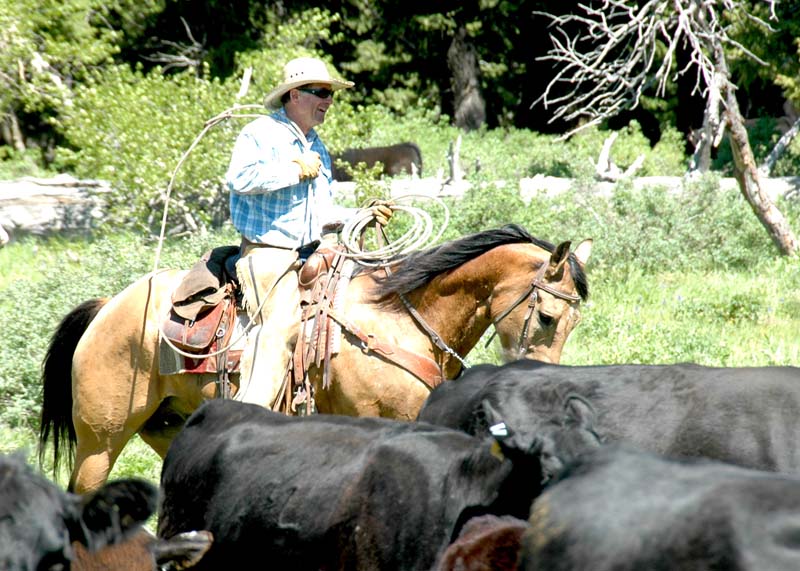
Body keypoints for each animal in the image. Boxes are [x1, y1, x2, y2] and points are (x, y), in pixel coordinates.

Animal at [37, 226, 592, 494]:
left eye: (573, 322)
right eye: (546, 316)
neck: (397, 316)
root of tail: (107, 308)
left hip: (168, 427)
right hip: (100, 442)